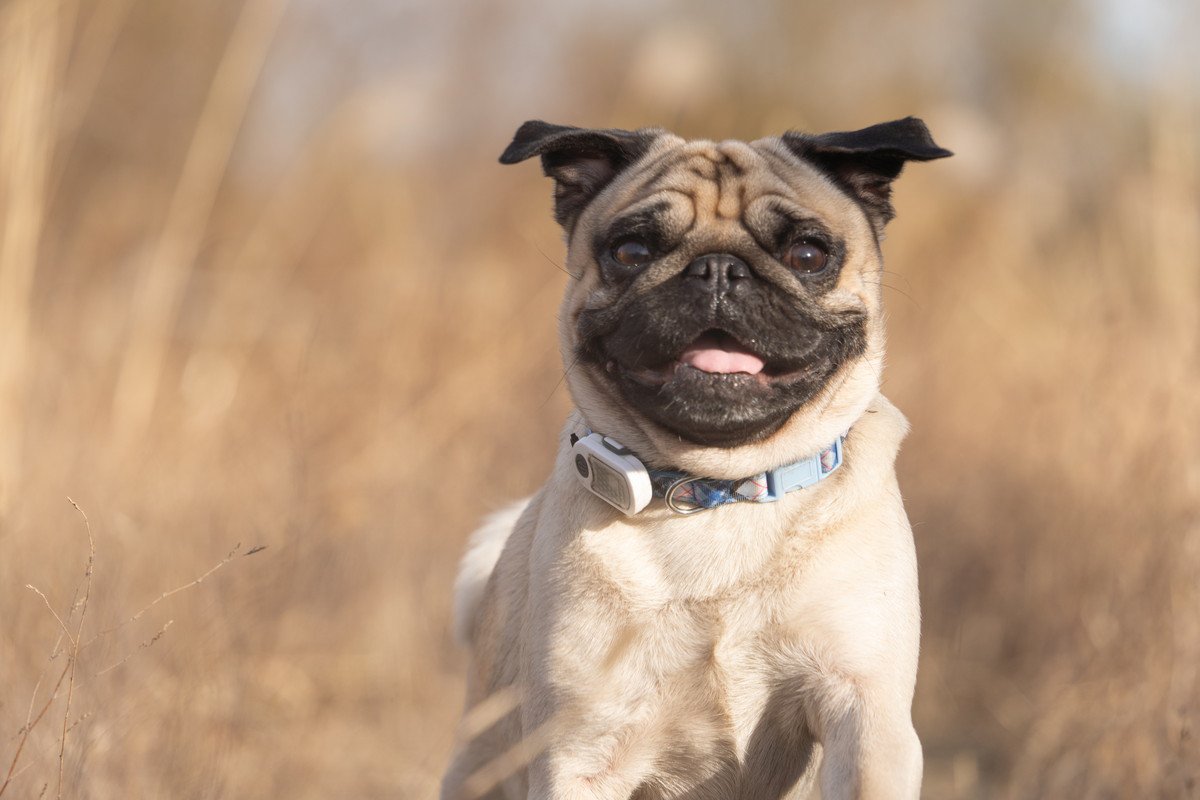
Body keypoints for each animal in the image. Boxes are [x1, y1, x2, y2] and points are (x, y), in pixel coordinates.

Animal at [441, 113, 945, 800]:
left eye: (808, 255)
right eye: (631, 252)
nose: (718, 270)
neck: (717, 492)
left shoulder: (865, 717)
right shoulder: (581, 749)